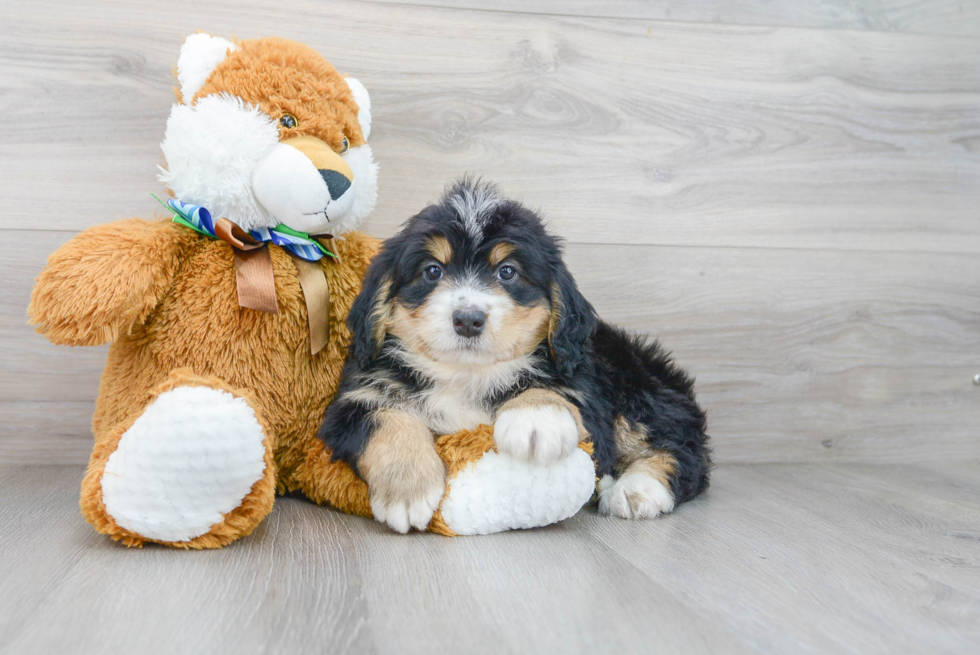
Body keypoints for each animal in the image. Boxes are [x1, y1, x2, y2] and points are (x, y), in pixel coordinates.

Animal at [322, 178, 712, 532]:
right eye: (432, 270)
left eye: (507, 271)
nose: (468, 319)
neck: (465, 375)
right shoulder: (352, 401)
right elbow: (387, 419)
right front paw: (408, 489)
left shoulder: (585, 393)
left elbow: (550, 389)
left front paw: (537, 418)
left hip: (635, 387)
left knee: (682, 449)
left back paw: (635, 489)